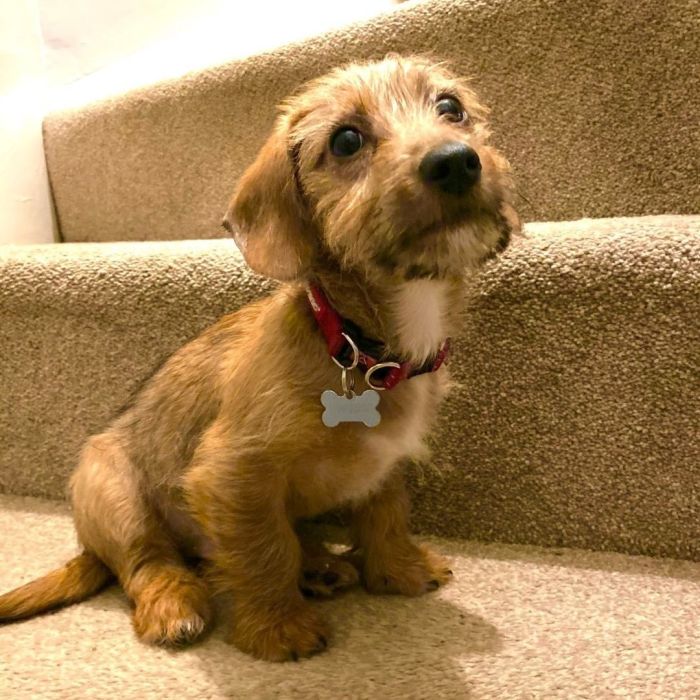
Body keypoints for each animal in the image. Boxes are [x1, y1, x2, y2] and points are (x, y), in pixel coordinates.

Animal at [0, 54, 520, 660]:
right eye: (346, 140)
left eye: (451, 107)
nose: (455, 162)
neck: (359, 346)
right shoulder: (231, 474)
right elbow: (263, 550)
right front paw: (278, 627)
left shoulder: (385, 461)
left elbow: (386, 513)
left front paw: (397, 569)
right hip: (112, 491)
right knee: (148, 560)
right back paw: (176, 601)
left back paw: (320, 567)